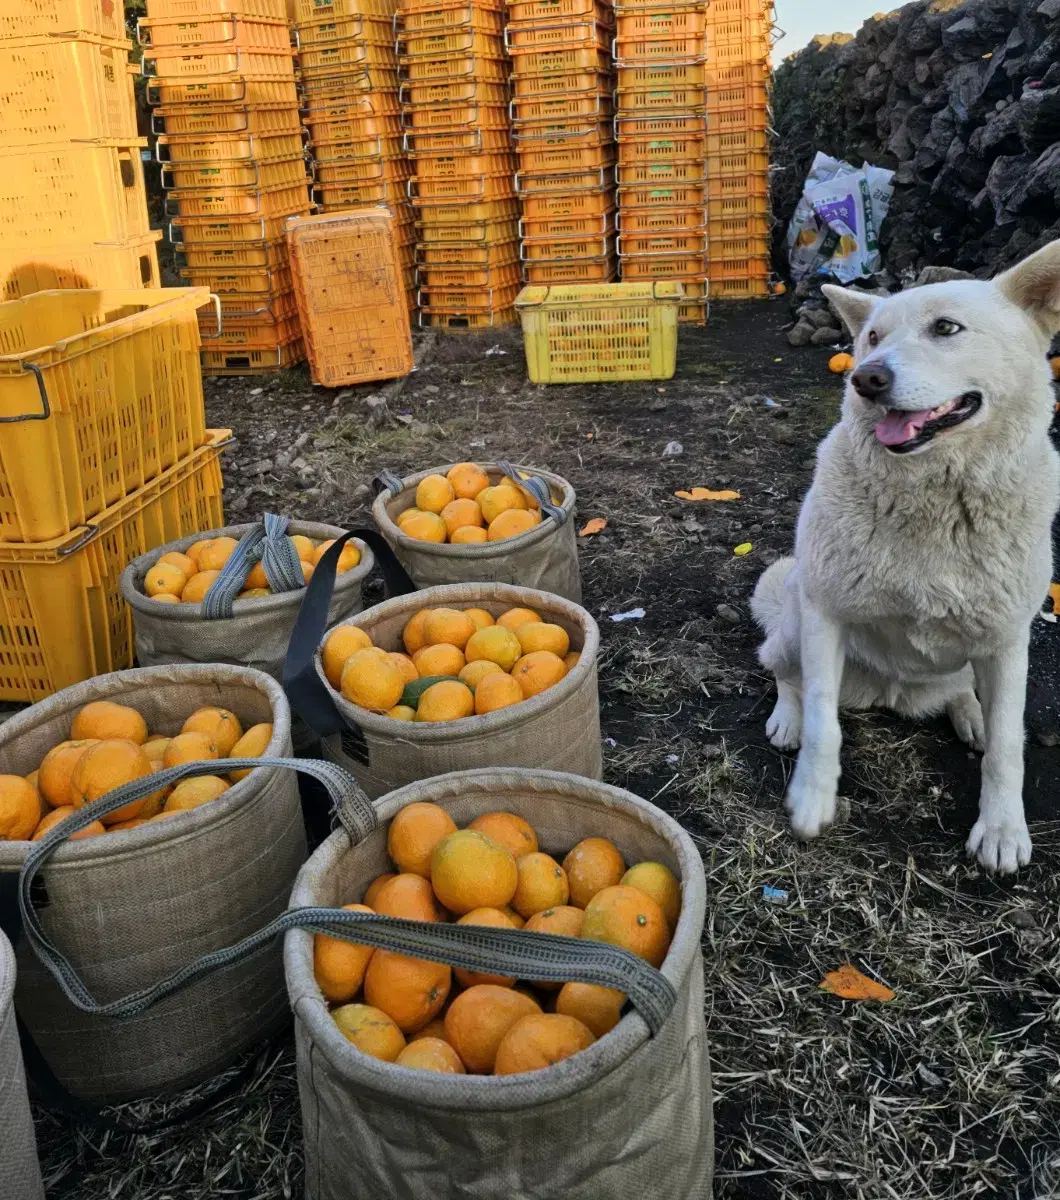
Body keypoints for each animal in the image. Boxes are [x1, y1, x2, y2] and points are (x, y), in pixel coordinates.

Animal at [753, 238, 1060, 873]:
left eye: (946, 328)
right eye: (872, 336)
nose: (865, 378)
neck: (936, 499)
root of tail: (895, 694)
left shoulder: (1008, 639)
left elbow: (1008, 746)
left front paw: (1001, 828)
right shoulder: (825, 614)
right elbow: (823, 721)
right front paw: (812, 797)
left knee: (970, 695)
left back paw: (970, 715)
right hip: (794, 621)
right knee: (785, 675)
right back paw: (787, 716)